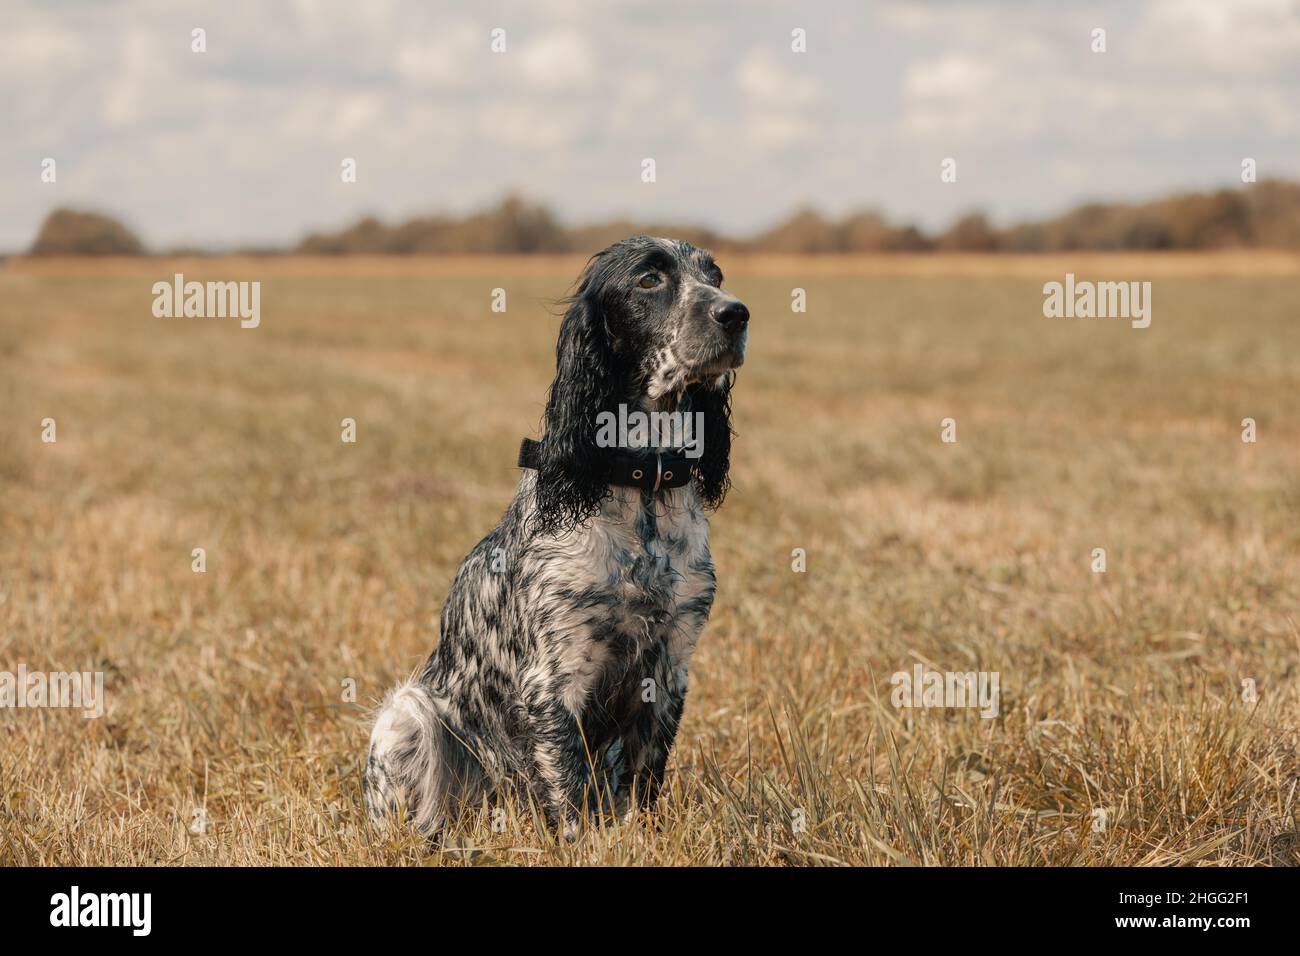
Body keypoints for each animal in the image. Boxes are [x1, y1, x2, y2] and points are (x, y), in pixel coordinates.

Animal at [366, 238, 754, 837]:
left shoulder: (670, 664)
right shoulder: (553, 677)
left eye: (714, 275)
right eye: (649, 280)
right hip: (407, 711)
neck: (638, 489)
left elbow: (642, 784)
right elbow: (570, 793)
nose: (735, 313)